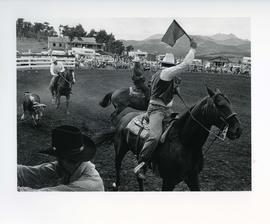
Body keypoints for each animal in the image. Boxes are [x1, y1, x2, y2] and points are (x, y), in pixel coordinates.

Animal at [98, 86, 242, 192]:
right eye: (219, 104)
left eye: (229, 103)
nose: (237, 130)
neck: (185, 143)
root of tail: (124, 118)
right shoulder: (168, 181)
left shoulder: (193, 178)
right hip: (120, 148)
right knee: (117, 164)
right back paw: (116, 185)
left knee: (139, 176)